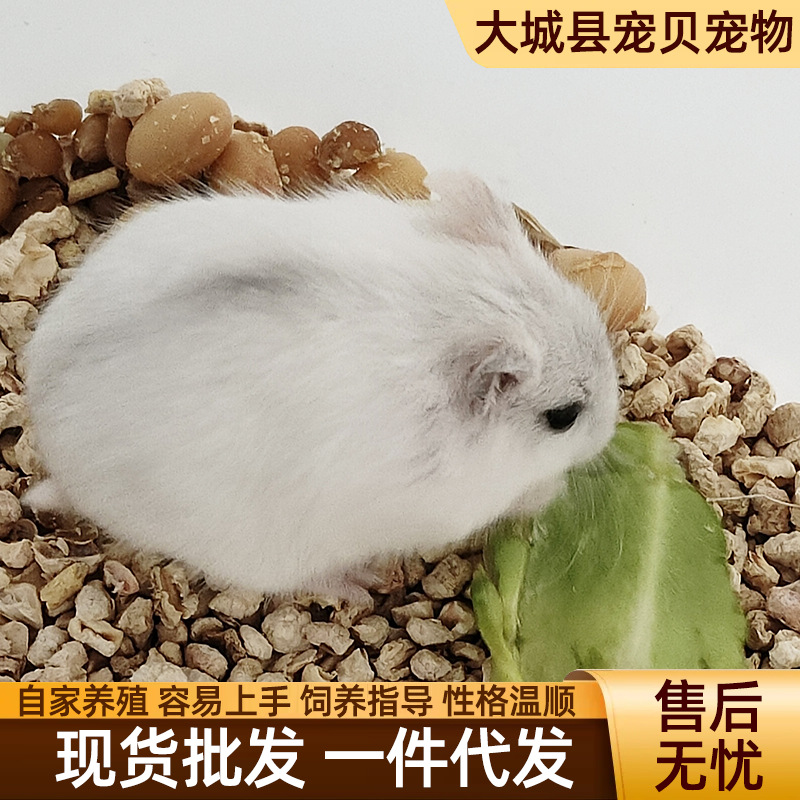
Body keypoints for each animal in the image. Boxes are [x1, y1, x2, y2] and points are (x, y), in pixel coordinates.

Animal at [22, 174, 619, 596]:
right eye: (564, 417)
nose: (613, 429)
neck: (445, 313)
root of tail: (58, 463)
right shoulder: (451, 505)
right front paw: (550, 491)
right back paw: (358, 586)